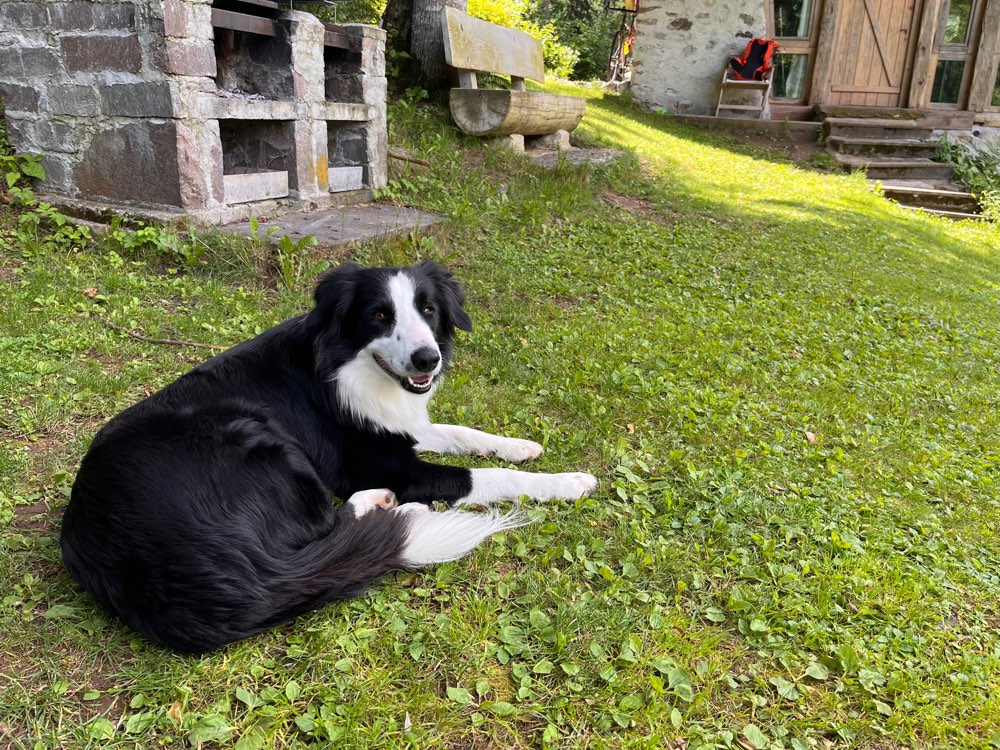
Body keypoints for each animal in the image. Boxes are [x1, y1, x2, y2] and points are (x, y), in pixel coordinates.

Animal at [62, 262, 596, 652]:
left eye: (428, 310)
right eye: (379, 315)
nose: (428, 359)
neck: (351, 366)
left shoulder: (398, 427)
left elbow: (460, 433)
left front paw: (521, 445)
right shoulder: (379, 463)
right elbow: (483, 475)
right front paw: (567, 482)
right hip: (262, 439)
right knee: (325, 526)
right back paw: (393, 508)